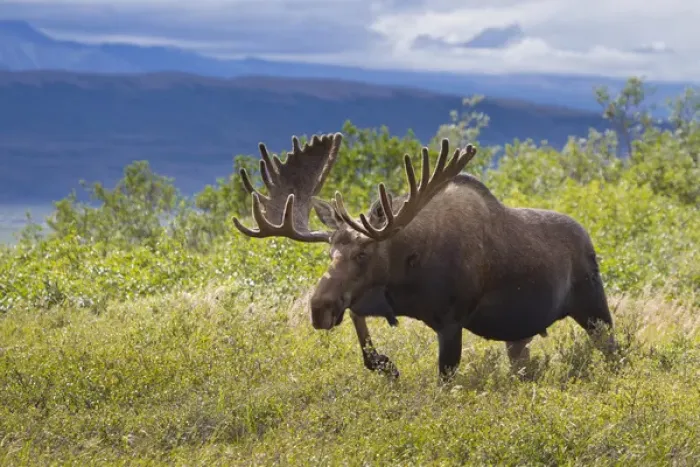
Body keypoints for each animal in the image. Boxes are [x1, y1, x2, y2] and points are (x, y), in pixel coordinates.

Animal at [233, 132, 617, 381]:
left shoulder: (451, 321)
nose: (318, 308)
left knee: (615, 352)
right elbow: (362, 335)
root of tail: (589, 240)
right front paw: (386, 365)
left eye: (364, 253)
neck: (407, 273)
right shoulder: (373, 299)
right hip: (519, 334)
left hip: (594, 308)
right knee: (522, 363)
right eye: (330, 252)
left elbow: (444, 378)